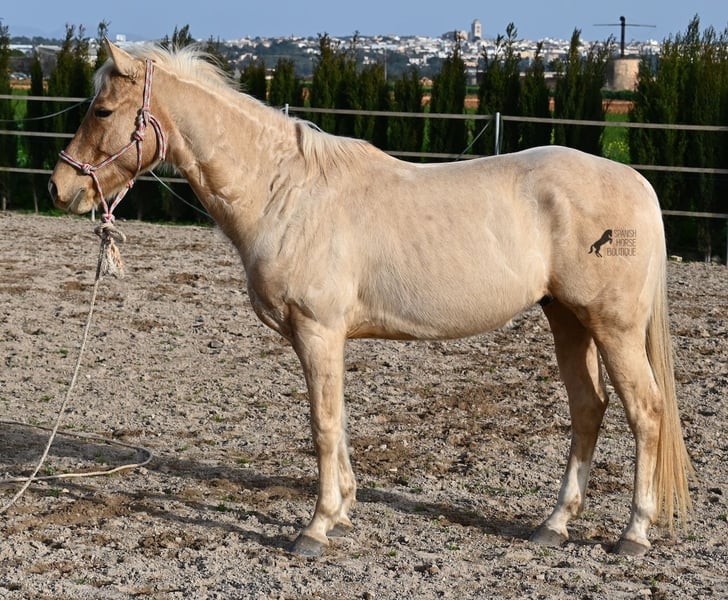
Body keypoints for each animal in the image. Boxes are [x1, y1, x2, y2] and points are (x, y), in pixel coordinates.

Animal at [49, 39, 693, 557]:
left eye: (103, 110)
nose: (61, 187)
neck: (286, 192)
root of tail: (638, 182)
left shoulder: (318, 331)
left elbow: (323, 424)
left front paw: (315, 528)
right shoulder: (322, 338)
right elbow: (338, 419)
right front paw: (343, 511)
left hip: (613, 327)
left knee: (646, 412)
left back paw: (633, 535)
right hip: (568, 320)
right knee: (589, 410)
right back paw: (553, 525)